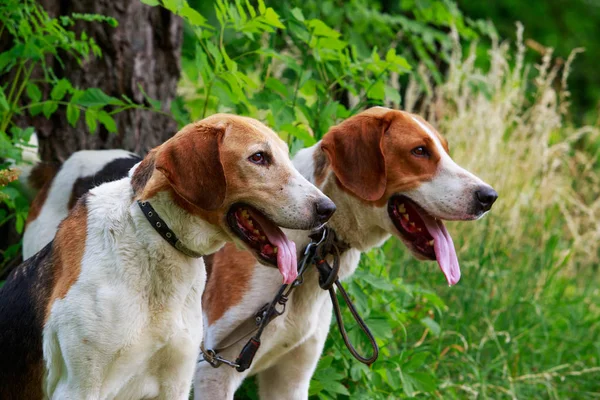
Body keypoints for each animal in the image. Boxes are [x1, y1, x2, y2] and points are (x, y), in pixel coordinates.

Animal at [192, 107, 496, 400]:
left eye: (446, 149)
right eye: (419, 150)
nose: (489, 197)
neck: (312, 246)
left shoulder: (291, 380)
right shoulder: (215, 372)